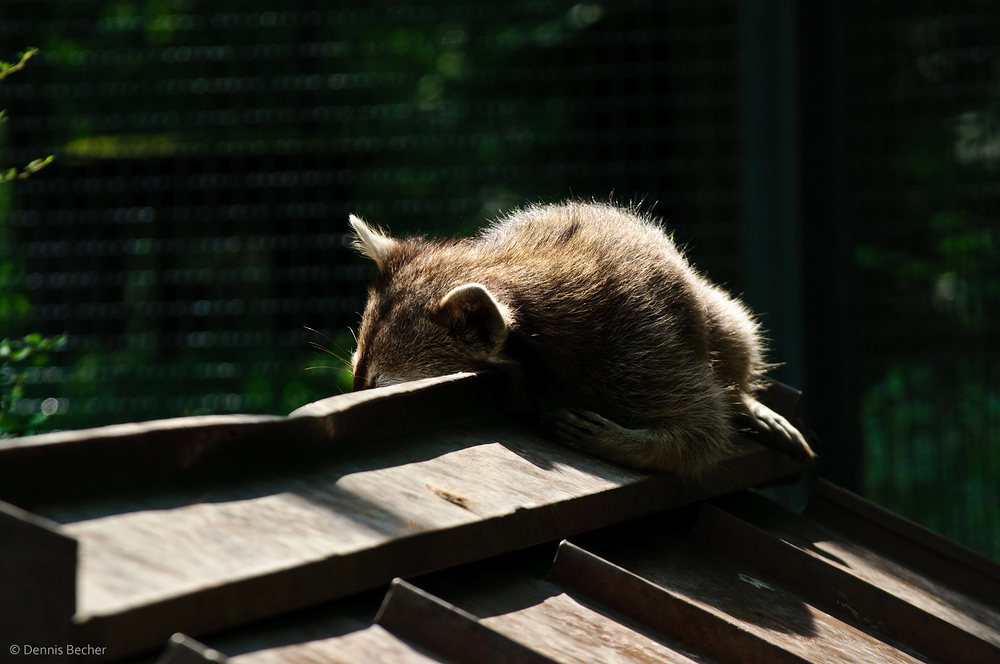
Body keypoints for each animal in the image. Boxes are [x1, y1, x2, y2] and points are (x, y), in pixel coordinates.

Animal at [348, 200, 816, 474]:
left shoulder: (640, 342)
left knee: (735, 331)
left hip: (701, 308)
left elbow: (702, 430)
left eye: (383, 390)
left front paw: (637, 446)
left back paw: (742, 394)